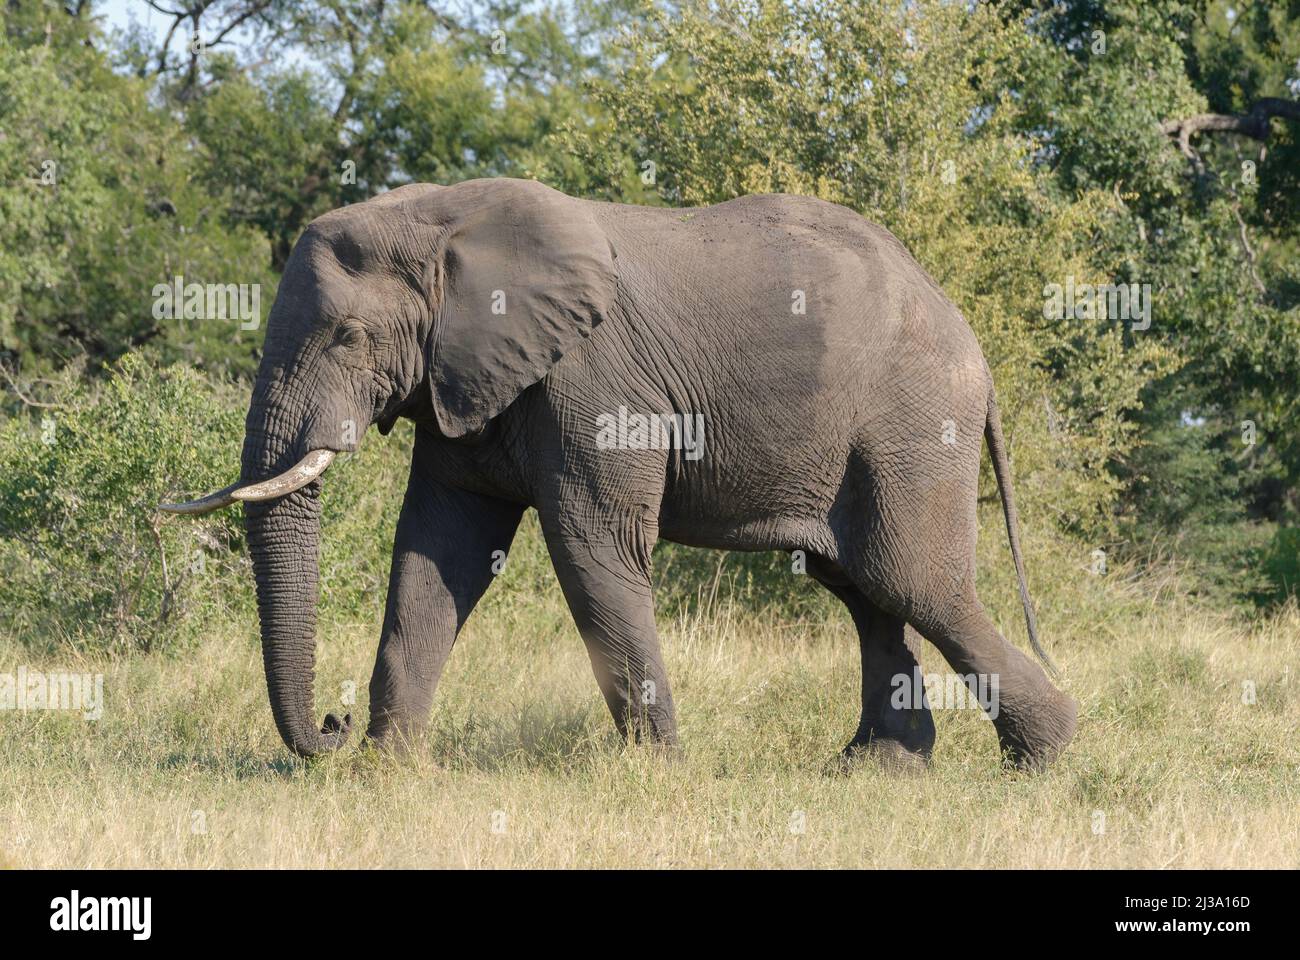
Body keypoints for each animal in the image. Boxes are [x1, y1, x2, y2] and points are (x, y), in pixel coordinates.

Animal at [162, 175, 1076, 764]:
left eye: (349, 337)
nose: (334, 723)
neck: (443, 218)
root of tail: (971, 342)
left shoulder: (594, 383)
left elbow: (590, 548)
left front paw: (657, 773)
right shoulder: (467, 378)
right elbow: (436, 550)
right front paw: (390, 772)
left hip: (912, 423)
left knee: (912, 578)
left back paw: (1046, 756)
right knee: (861, 587)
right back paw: (875, 767)